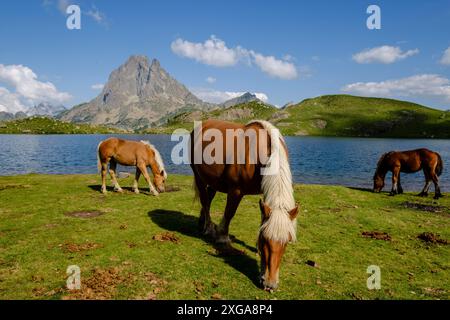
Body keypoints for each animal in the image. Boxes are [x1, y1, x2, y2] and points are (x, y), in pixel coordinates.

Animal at [190, 119, 298, 292]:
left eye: (287, 241)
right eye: (265, 239)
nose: (270, 284)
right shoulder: (236, 191)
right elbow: (229, 213)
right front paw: (222, 237)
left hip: (213, 180)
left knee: (208, 197)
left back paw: (202, 223)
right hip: (199, 176)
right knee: (205, 201)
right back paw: (208, 227)